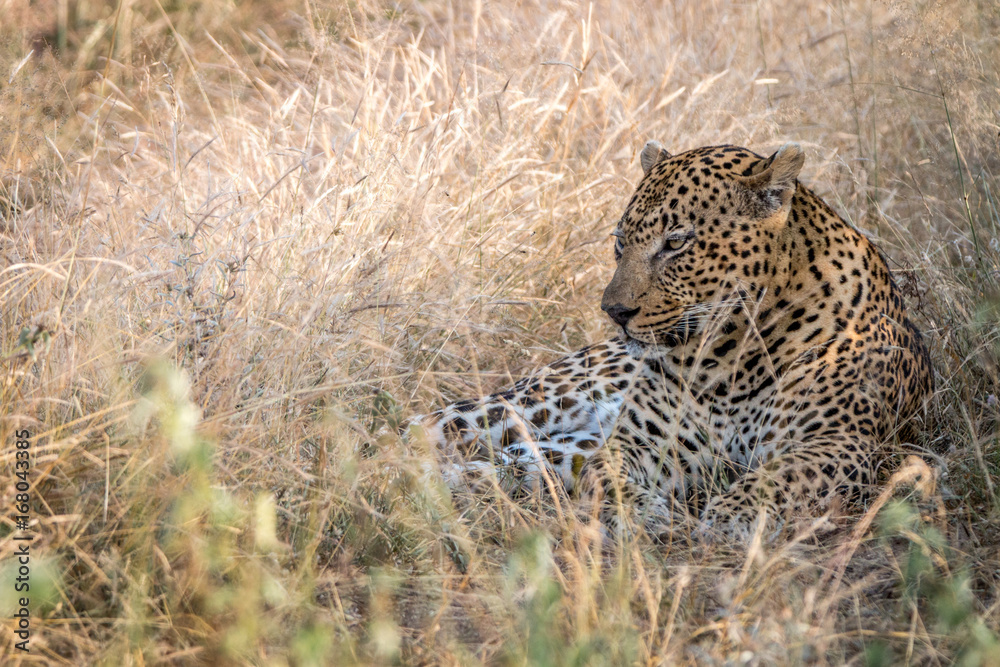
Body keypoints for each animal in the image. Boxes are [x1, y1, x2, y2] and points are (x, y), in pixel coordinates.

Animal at [406, 141, 933, 540]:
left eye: (676, 243)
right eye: (621, 242)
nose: (615, 312)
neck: (732, 360)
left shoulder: (844, 443)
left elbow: (780, 476)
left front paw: (730, 517)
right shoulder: (642, 443)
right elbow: (607, 474)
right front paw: (642, 513)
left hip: (553, 449)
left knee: (496, 466)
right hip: (531, 404)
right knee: (422, 427)